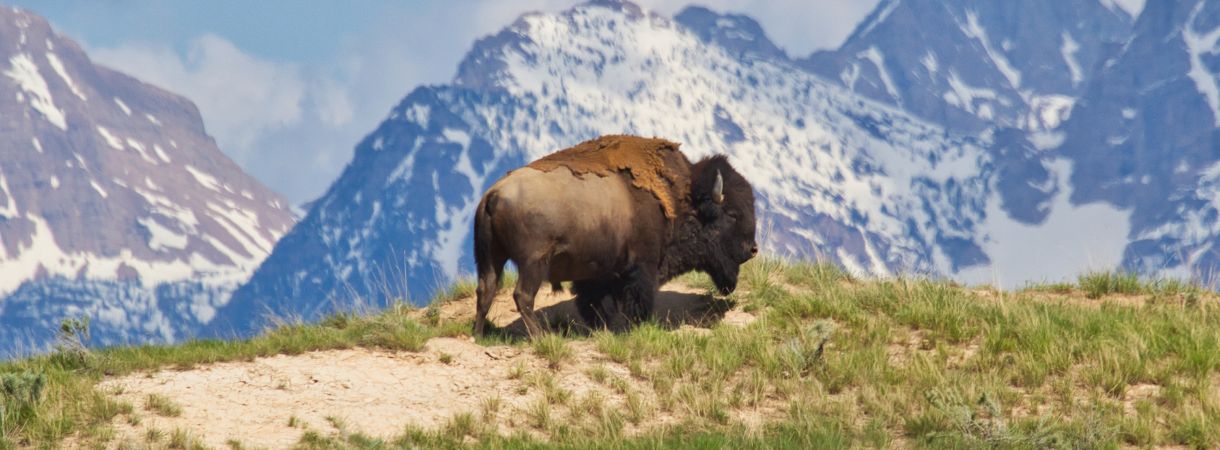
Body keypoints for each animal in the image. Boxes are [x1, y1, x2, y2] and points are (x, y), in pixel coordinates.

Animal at [470, 134, 756, 334]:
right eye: (732, 213)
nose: (752, 249)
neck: (680, 200)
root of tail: (493, 194)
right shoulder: (641, 268)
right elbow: (634, 300)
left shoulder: (596, 274)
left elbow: (595, 303)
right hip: (534, 262)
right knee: (523, 296)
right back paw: (539, 336)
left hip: (491, 258)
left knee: (486, 289)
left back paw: (480, 334)